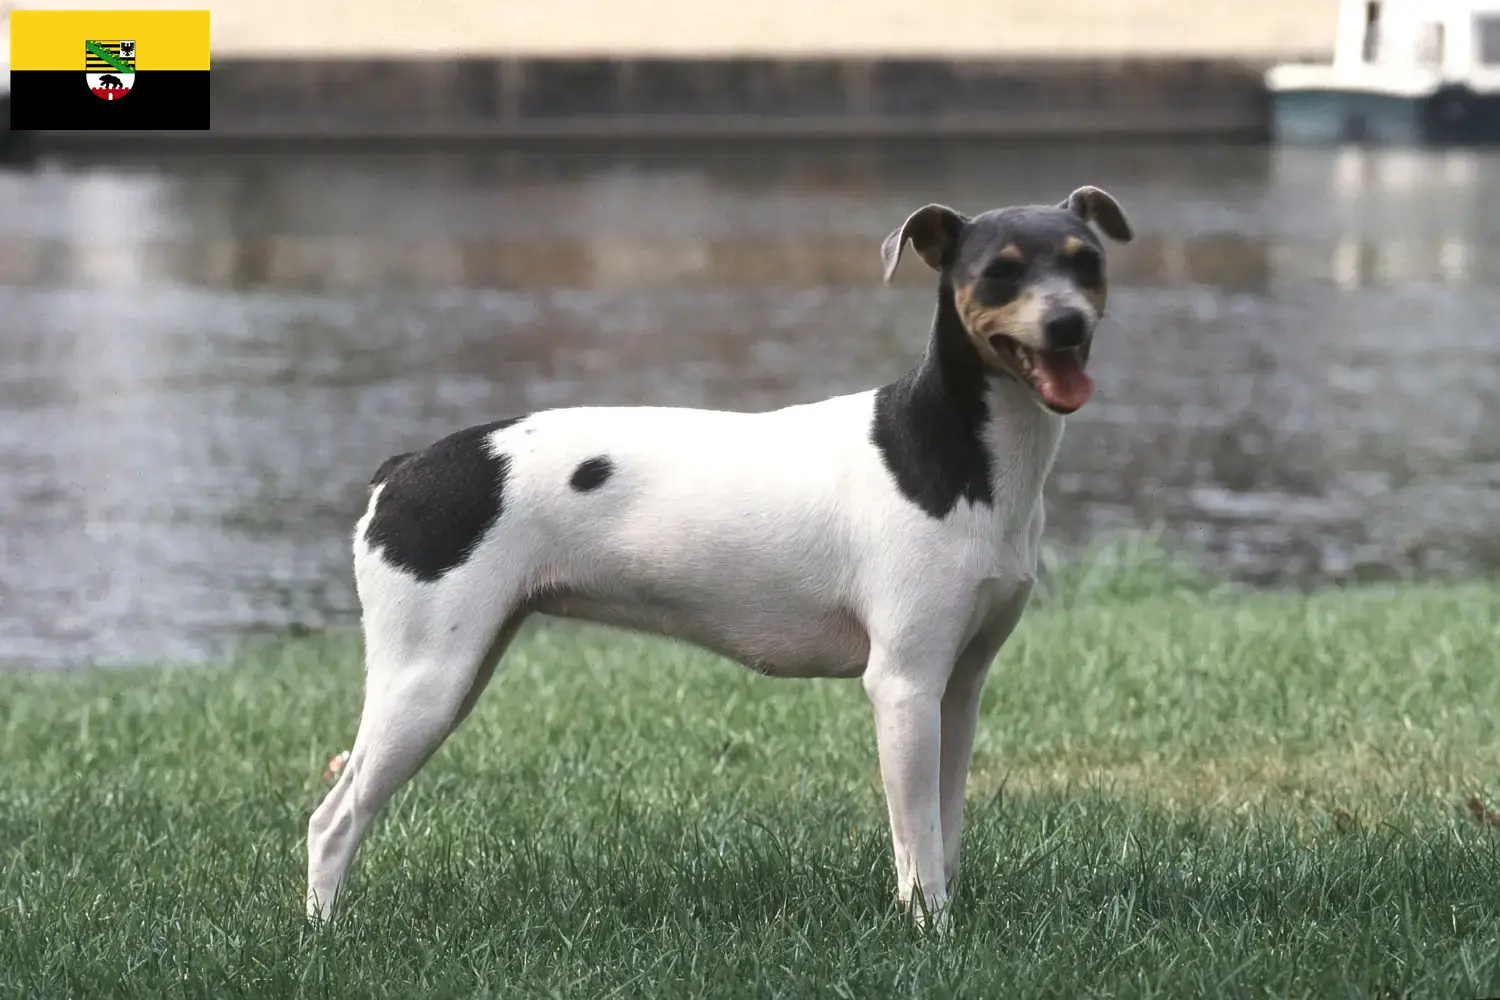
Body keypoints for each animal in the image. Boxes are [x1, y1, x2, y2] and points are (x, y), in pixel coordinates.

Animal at [307, 185, 1134, 929]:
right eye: (999, 272)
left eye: (1086, 261)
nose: (1065, 322)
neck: (955, 452)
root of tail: (404, 469)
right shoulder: (902, 686)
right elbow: (916, 842)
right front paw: (931, 932)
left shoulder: (957, 687)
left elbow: (944, 829)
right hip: (426, 682)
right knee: (333, 821)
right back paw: (325, 934)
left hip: (461, 667)